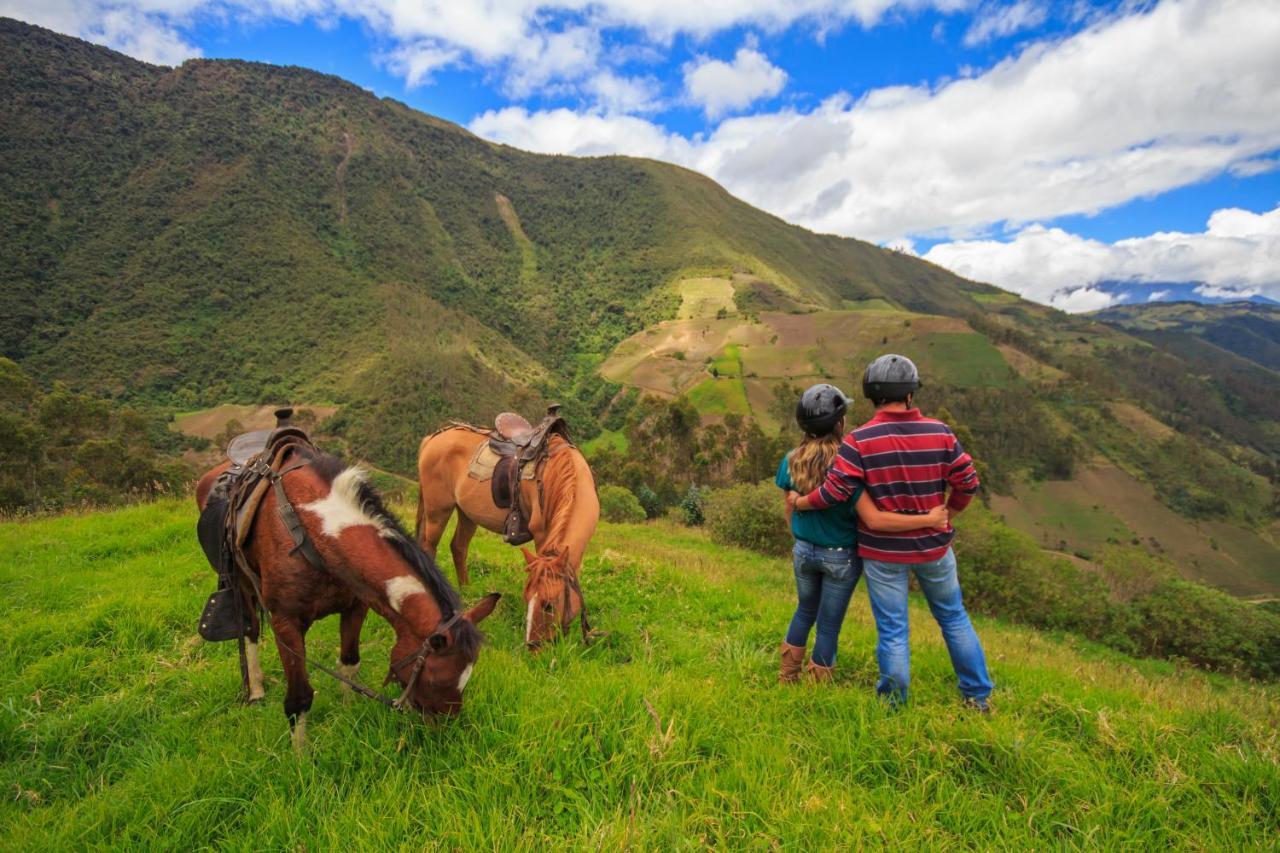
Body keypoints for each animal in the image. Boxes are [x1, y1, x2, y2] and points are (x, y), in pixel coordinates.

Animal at [197, 440, 496, 747]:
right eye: (437, 681)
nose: (441, 732)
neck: (311, 531)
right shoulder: (285, 622)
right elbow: (299, 696)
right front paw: (300, 753)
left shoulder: (356, 607)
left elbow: (349, 664)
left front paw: (348, 712)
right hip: (242, 585)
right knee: (251, 632)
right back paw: (256, 689)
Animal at [417, 422, 601, 648]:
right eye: (527, 598)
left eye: (548, 605)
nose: (533, 647)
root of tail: (433, 438)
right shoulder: (541, 535)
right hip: (437, 511)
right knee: (429, 548)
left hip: (466, 514)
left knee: (458, 547)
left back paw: (467, 592)